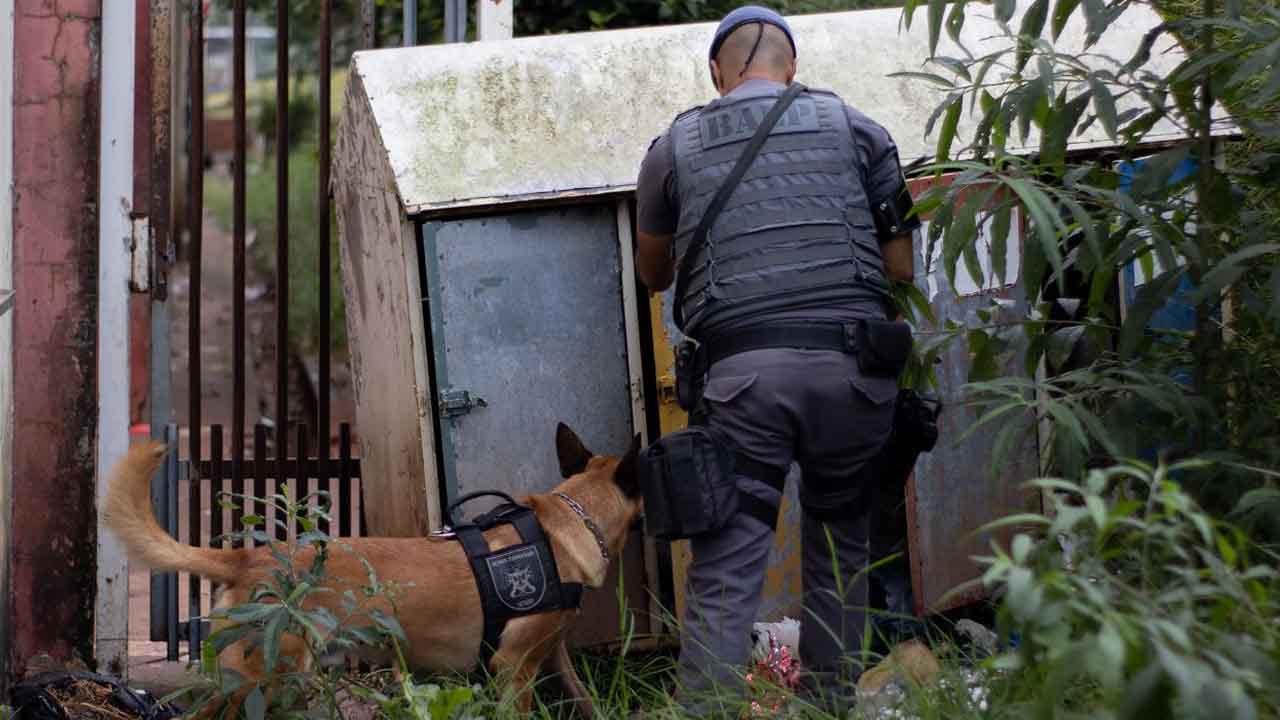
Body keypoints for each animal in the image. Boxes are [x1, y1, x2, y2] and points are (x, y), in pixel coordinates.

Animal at [101, 422, 645, 712]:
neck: (568, 521)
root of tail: (249, 557)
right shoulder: (512, 666)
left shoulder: (550, 654)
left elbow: (583, 697)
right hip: (260, 682)